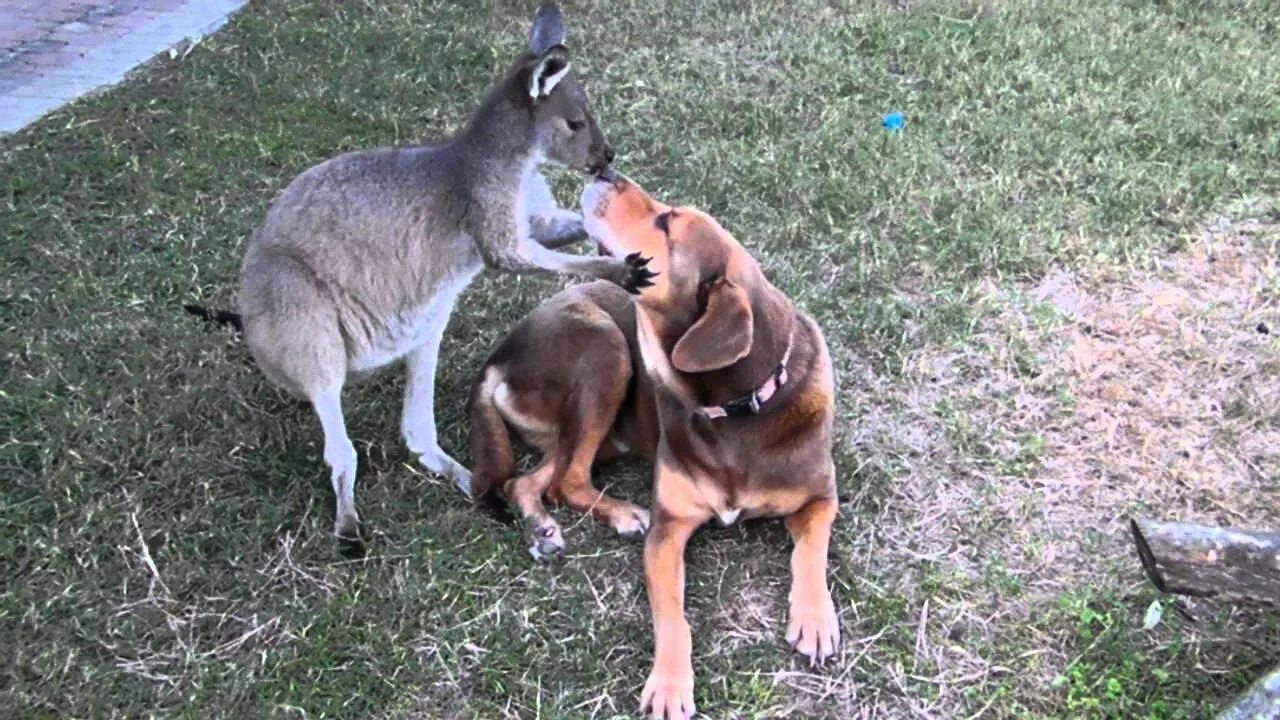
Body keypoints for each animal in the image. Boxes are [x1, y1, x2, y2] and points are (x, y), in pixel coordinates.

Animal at [465, 174, 834, 717]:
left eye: (665, 223)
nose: (605, 172)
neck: (741, 406)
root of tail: (500, 354)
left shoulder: (821, 497)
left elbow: (810, 551)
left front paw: (815, 618)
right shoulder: (669, 530)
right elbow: (673, 618)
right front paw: (669, 685)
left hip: (606, 417)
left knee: (533, 481)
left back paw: (542, 527)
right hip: (606, 350)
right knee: (566, 479)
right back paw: (618, 515)